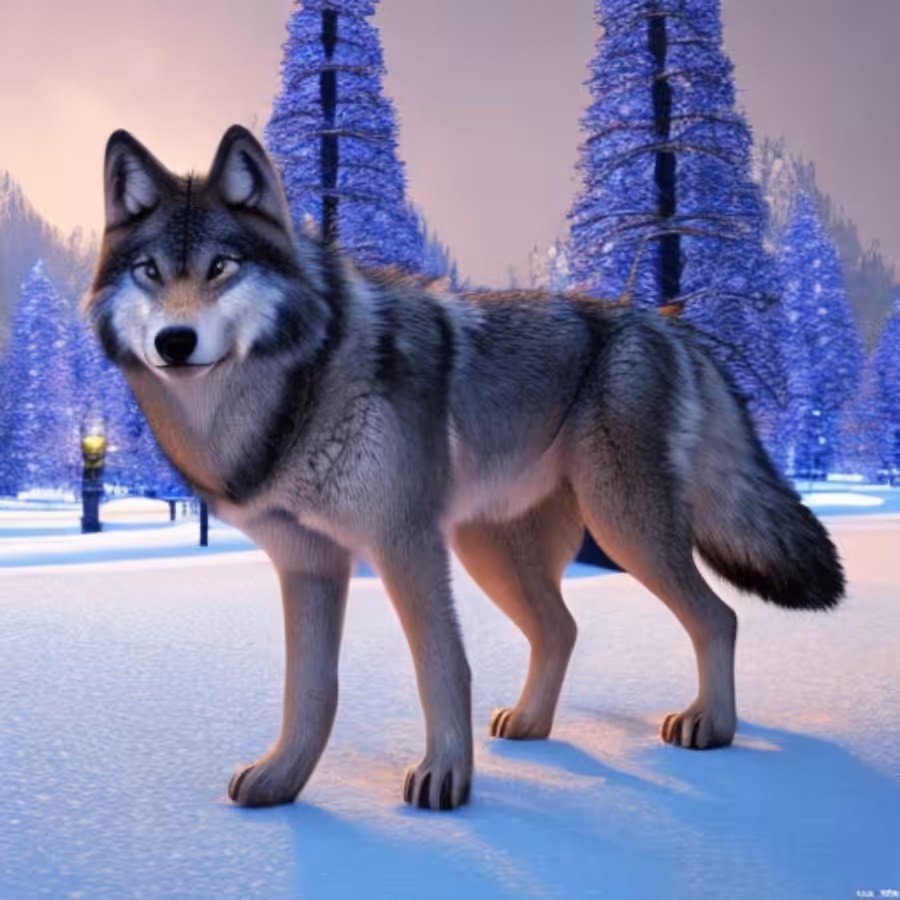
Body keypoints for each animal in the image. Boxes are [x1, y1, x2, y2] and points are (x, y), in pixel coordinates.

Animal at [82, 125, 845, 811]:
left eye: (221, 267)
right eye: (150, 272)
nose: (174, 341)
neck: (301, 388)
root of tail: (672, 326)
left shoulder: (406, 545)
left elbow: (441, 666)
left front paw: (444, 779)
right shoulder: (308, 562)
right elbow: (309, 689)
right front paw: (282, 782)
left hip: (621, 527)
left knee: (719, 617)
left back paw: (710, 726)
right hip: (492, 550)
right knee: (562, 628)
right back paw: (532, 724)